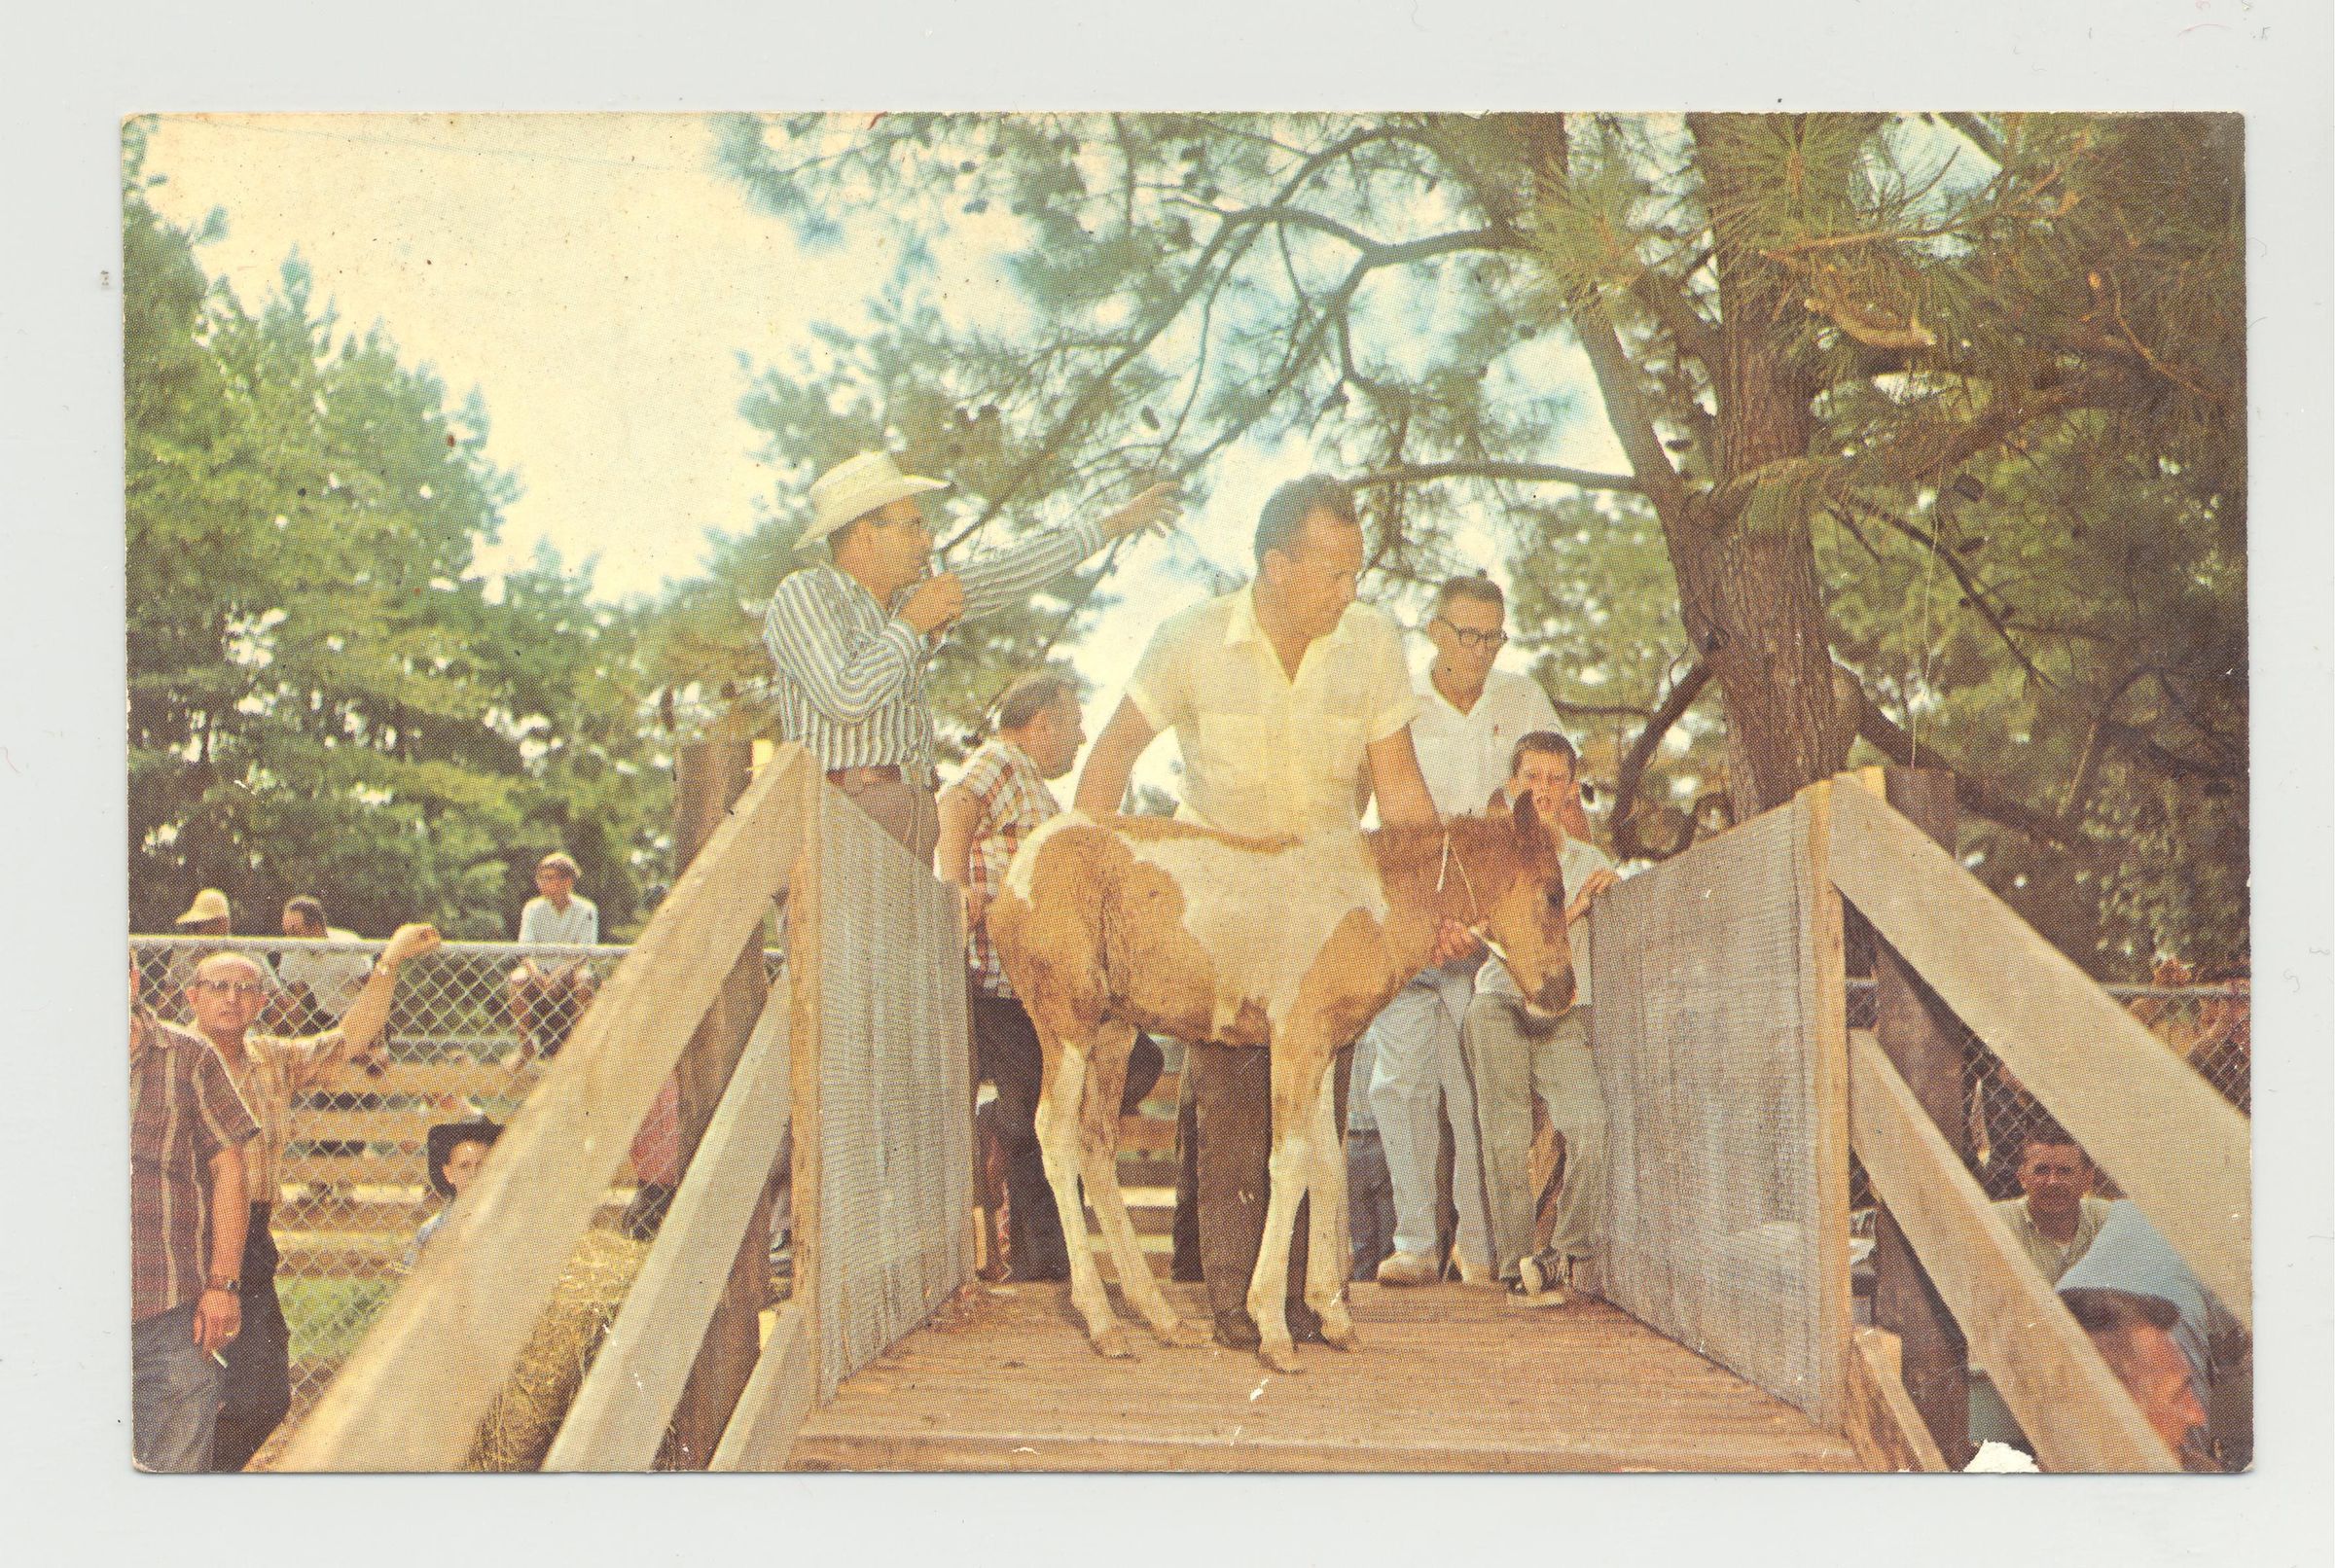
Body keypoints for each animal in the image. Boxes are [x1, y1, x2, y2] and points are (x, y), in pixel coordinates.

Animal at [986, 796, 1577, 1373]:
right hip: (1068, 1022)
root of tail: (1016, 873)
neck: (1371, 902)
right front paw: (1272, 1328)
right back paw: (1103, 1323)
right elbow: (1289, 1164)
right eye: (1553, 894)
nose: (1563, 992)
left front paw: (1332, 1317)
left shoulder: (1322, 1052)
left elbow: (1327, 1165)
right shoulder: (1295, 1039)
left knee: (1097, 1145)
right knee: (1056, 1136)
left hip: (1115, 1029)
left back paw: (1163, 1321)